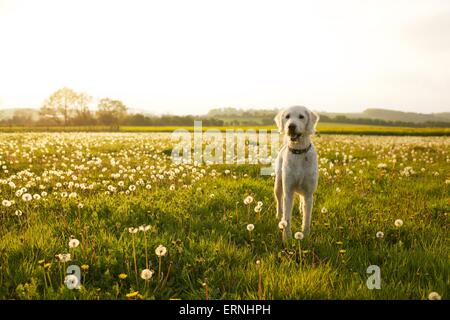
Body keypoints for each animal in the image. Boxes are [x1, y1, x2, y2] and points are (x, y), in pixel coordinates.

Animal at [274, 105, 320, 240]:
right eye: (287, 116)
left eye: (301, 116)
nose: (291, 126)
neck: (299, 151)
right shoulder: (288, 192)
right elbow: (287, 218)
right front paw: (287, 237)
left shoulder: (309, 194)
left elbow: (307, 218)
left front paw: (305, 235)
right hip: (278, 185)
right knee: (279, 202)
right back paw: (278, 215)